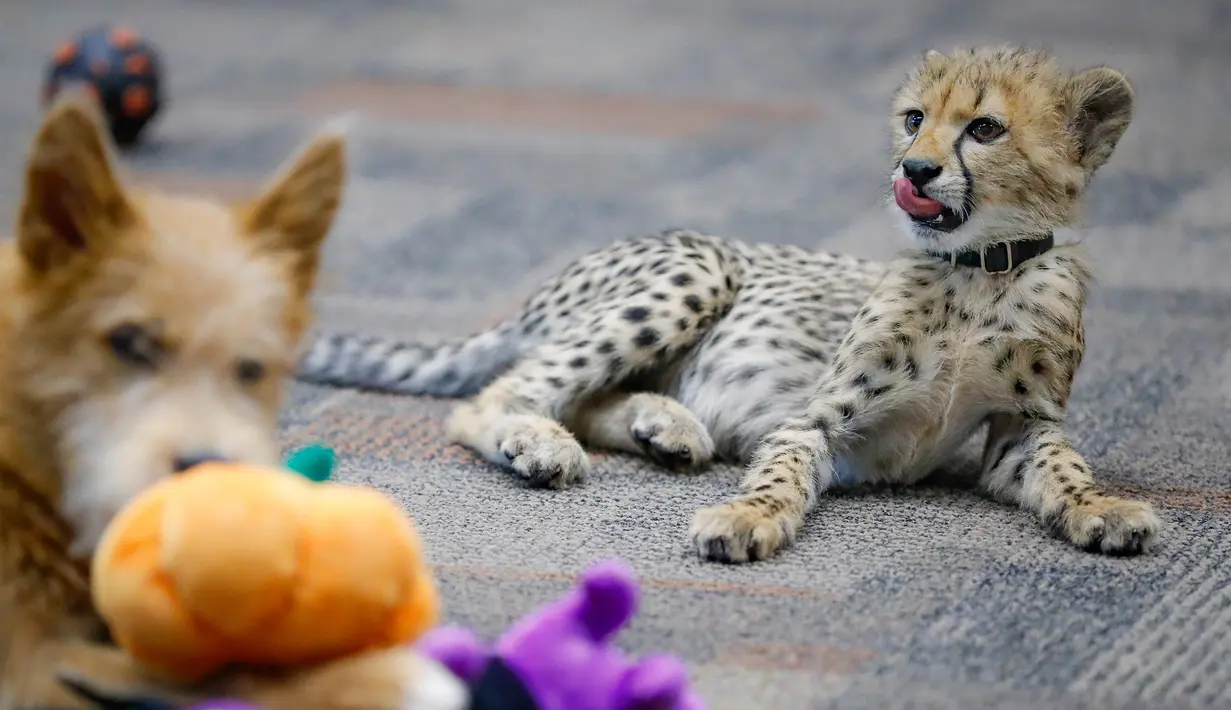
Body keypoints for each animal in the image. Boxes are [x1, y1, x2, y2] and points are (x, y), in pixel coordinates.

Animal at [297, 45, 1160, 564]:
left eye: (983, 128)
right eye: (914, 119)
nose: (912, 170)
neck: (978, 272)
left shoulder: (1018, 431)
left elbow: (1062, 466)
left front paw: (1103, 508)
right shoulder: (817, 418)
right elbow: (780, 470)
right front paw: (744, 519)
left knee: (580, 397)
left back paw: (666, 428)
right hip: (697, 269)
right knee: (497, 396)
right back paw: (543, 444)